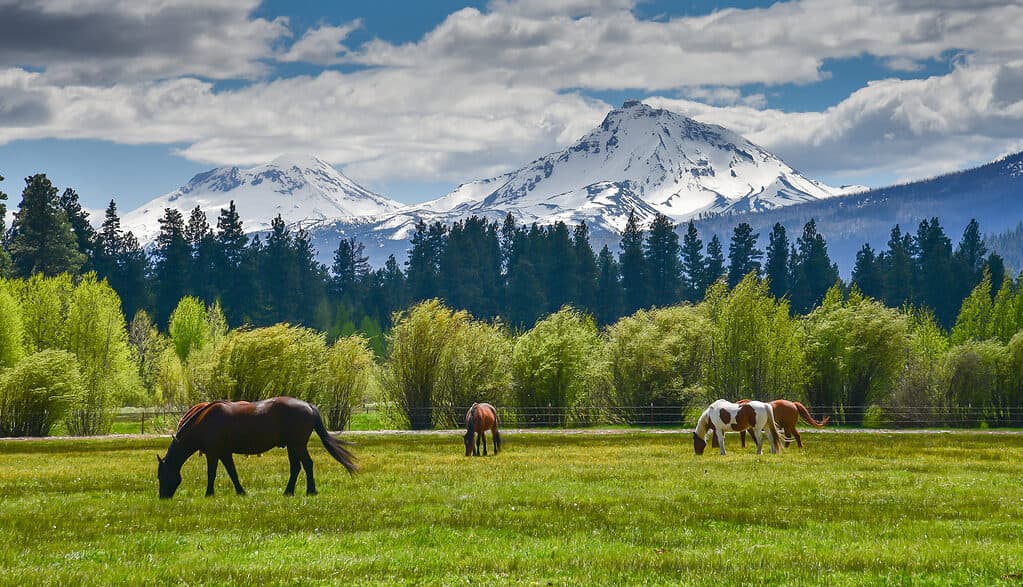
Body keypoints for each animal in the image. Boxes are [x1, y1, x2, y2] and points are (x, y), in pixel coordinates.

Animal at [157, 397, 357, 499]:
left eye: (162, 476)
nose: (163, 497)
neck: (204, 422)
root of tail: (308, 405)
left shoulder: (213, 453)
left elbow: (211, 474)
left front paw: (209, 494)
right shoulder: (224, 453)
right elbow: (232, 472)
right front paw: (241, 491)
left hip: (298, 445)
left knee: (307, 464)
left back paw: (310, 491)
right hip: (292, 446)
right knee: (296, 467)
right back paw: (288, 492)